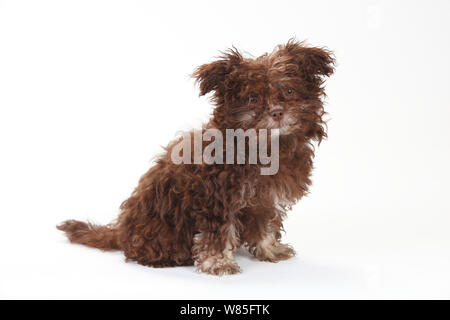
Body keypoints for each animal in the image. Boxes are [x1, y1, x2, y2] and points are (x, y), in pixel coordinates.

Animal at [57, 39, 334, 276]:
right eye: (253, 98)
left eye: (289, 91)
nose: (277, 112)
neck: (265, 147)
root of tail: (122, 232)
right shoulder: (216, 199)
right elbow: (218, 234)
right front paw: (219, 263)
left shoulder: (266, 200)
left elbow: (265, 225)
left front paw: (269, 249)